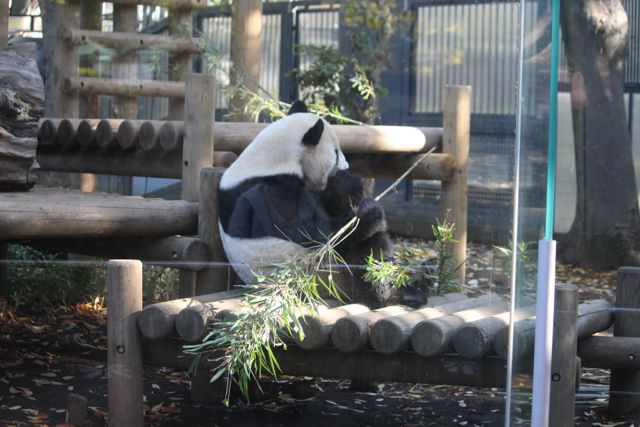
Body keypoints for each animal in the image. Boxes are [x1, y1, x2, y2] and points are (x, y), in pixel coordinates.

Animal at [220, 100, 424, 308]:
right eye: (336, 153)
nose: (346, 167)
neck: (269, 160)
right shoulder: (268, 192)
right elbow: (314, 230)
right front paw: (368, 211)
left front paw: (347, 184)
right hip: (322, 270)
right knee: (368, 250)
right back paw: (386, 294)